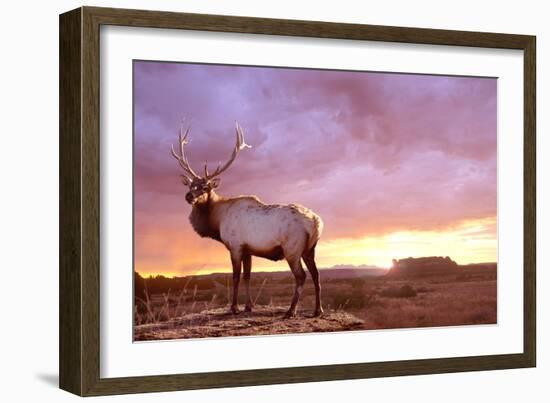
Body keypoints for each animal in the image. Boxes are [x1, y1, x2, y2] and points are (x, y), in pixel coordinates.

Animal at [171, 121, 324, 318]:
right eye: (190, 185)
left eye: (205, 187)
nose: (189, 196)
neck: (217, 220)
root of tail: (316, 222)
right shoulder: (248, 250)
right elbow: (247, 276)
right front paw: (248, 306)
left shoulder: (235, 245)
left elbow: (235, 276)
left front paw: (234, 307)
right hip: (310, 248)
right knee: (316, 274)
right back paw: (317, 310)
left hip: (292, 248)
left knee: (301, 276)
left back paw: (291, 311)